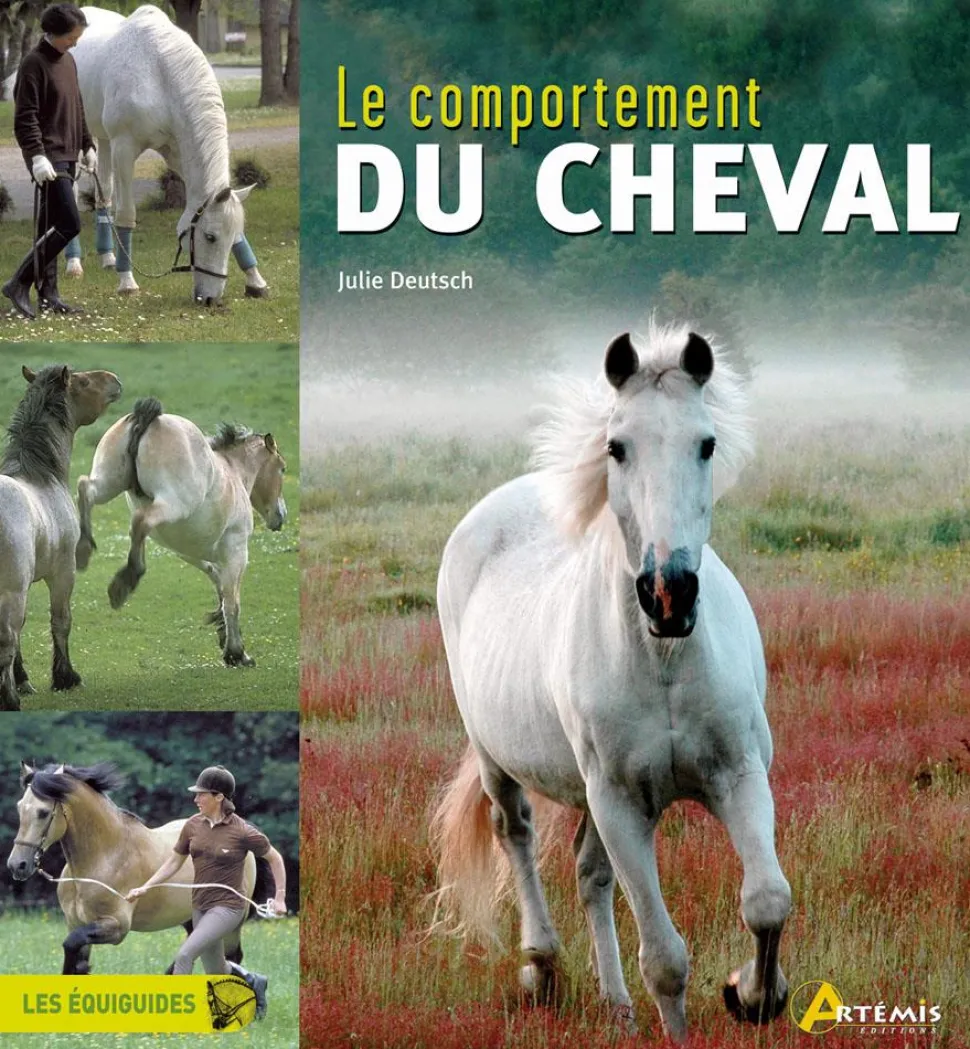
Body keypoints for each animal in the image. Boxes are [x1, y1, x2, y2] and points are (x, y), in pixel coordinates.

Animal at [0, 365, 122, 711]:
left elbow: (25, 628)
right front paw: (65, 678)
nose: (115, 380)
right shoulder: (62, 574)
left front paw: (24, 679)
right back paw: (9, 699)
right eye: (84, 380)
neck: (41, 476)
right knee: (6, 639)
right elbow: (60, 621)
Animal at [6, 761, 257, 975]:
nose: (17, 865)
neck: (104, 857)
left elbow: (71, 945)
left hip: (231, 921)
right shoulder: (76, 923)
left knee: (231, 957)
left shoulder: (116, 926)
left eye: (43, 812)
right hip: (193, 918)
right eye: (19, 808)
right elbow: (74, 963)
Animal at [66, 5, 268, 303]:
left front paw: (256, 280)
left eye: (234, 237)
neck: (158, 74)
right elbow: (126, 215)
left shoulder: (177, 155)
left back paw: (108, 258)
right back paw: (73, 264)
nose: (211, 299)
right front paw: (127, 283)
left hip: (102, 139)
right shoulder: (124, 149)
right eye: (209, 237)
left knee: (104, 192)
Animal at [75, 398, 287, 667]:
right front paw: (237, 653)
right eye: (283, 469)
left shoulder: (191, 553)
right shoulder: (237, 550)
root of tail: (150, 419)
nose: (281, 516)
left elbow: (219, 585)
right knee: (141, 520)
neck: (234, 473)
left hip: (110, 481)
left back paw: (84, 549)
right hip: (172, 503)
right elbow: (232, 601)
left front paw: (223, 636)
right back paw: (125, 581)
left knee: (85, 489)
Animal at [431, 324, 791, 1042]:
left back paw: (616, 1005)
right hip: (502, 761)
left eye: (706, 442)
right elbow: (666, 960)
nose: (668, 592)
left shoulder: (738, 775)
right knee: (515, 832)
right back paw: (541, 968)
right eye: (617, 447)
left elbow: (767, 899)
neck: (666, 660)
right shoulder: (622, 804)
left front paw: (754, 994)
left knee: (588, 872)